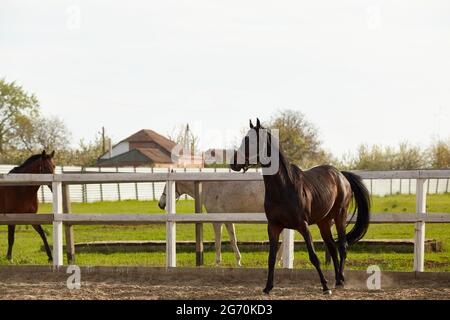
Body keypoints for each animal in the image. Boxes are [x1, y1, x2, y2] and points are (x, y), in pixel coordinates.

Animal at [230, 119, 370, 294]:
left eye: (253, 141)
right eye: (245, 140)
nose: (234, 163)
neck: (283, 188)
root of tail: (341, 175)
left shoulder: (303, 226)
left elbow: (314, 257)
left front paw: (325, 287)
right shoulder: (273, 227)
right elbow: (271, 258)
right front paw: (268, 287)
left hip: (340, 216)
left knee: (342, 246)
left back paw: (339, 282)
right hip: (324, 222)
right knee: (332, 247)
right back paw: (338, 279)